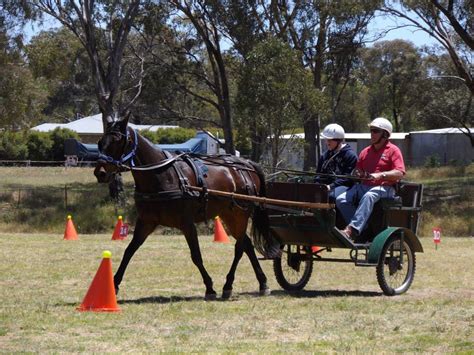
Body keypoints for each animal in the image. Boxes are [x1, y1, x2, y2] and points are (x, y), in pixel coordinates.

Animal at [93, 117, 278, 300]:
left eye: (118, 141)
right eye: (100, 142)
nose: (100, 173)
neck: (160, 174)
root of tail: (246, 164)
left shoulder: (187, 223)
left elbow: (196, 256)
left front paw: (210, 288)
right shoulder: (146, 222)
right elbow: (129, 251)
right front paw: (114, 285)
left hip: (240, 214)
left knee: (240, 247)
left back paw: (232, 285)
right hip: (229, 215)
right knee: (246, 244)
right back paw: (258, 283)